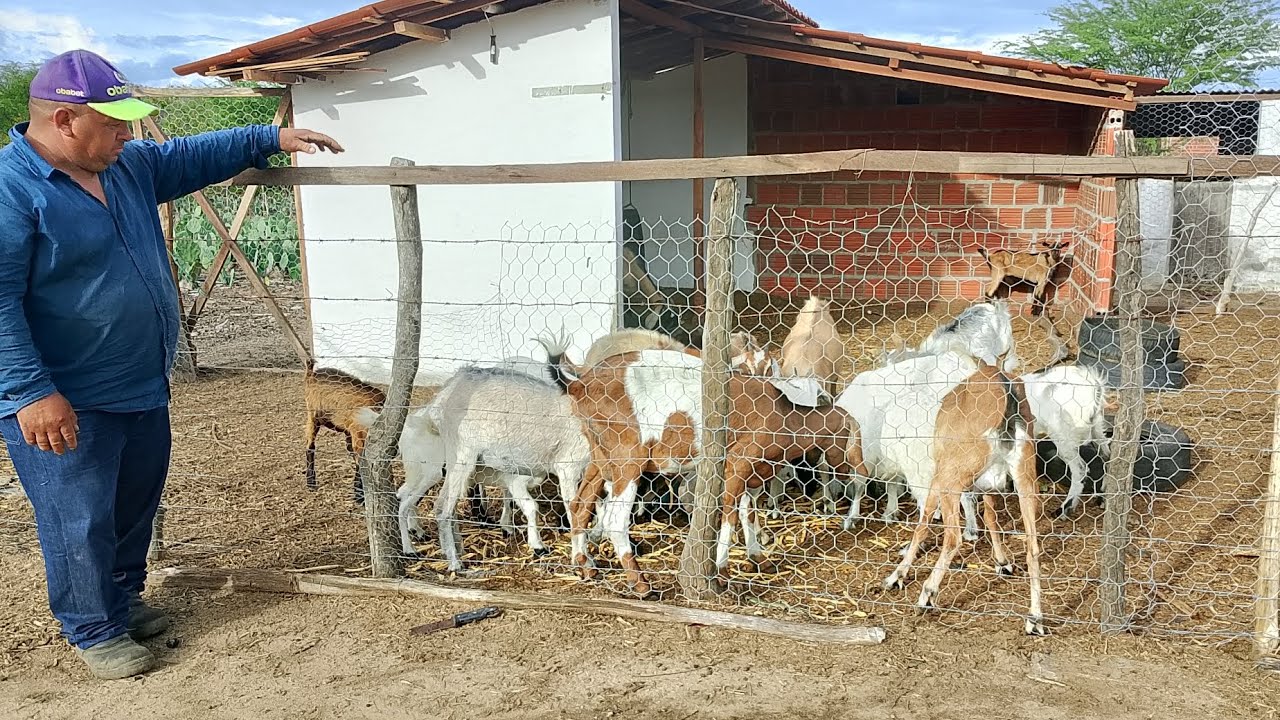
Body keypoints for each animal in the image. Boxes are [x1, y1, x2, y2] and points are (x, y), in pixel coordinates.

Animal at [540, 338, 865, 597]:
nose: (854, 471)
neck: (782, 415)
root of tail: (579, 384)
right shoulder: (737, 464)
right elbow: (730, 516)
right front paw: (722, 572)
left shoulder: (748, 471)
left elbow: (748, 511)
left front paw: (758, 558)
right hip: (627, 458)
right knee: (615, 519)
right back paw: (640, 583)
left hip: (600, 454)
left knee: (580, 504)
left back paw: (585, 565)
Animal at [882, 363, 1047, 636]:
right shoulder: (991, 486)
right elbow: (990, 516)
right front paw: (1003, 562)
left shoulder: (938, 473)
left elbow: (924, 521)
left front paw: (897, 576)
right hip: (1025, 479)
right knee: (1032, 546)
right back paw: (1035, 619)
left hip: (952, 477)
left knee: (953, 537)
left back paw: (927, 595)